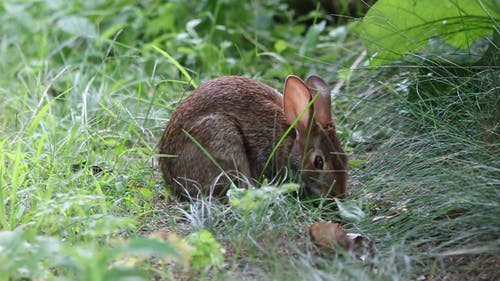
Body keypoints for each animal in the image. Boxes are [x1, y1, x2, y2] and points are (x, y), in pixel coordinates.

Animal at [160, 73, 348, 198]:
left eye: (345, 158)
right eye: (319, 162)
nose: (338, 193)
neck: (290, 140)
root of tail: (171, 181)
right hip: (224, 140)